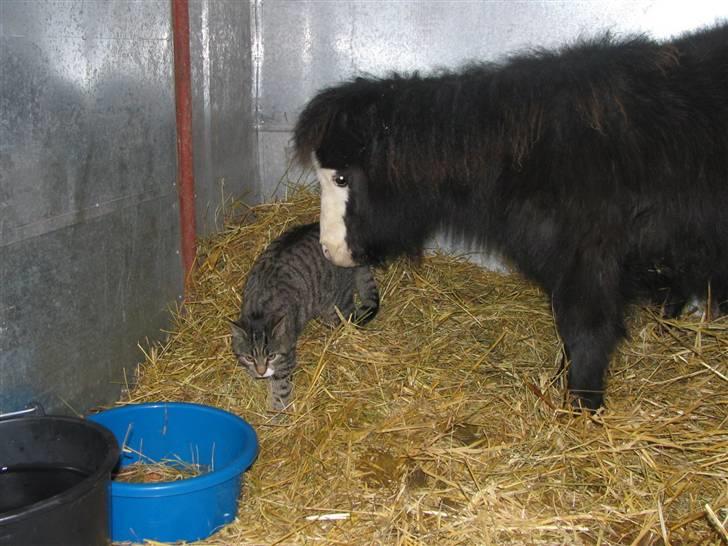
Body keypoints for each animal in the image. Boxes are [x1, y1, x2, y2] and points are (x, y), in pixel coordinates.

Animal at [232, 221, 382, 408]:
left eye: (271, 356)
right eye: (249, 358)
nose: (260, 372)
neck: (259, 310)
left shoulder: (286, 357)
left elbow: (281, 387)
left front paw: (276, 410)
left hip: (336, 305)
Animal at [292, 25, 728, 408]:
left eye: (342, 178)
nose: (329, 249)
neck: (524, 158)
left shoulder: (590, 268)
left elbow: (586, 334)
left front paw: (582, 408)